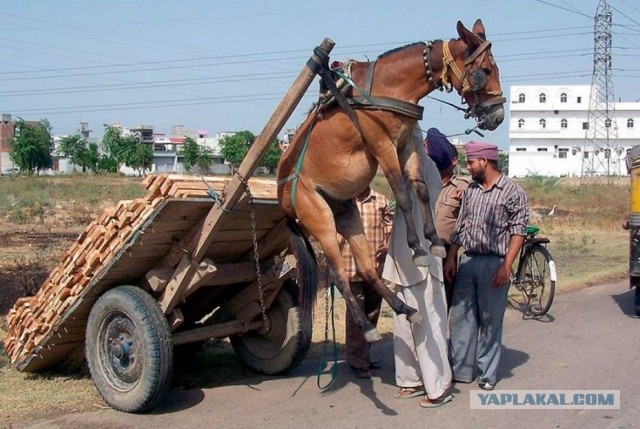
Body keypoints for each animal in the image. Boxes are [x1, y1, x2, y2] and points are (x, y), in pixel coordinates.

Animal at [276, 19, 504, 342]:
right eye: (484, 70)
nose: (498, 115)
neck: (389, 87)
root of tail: (283, 197)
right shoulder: (382, 145)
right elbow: (403, 194)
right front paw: (418, 249)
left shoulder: (407, 143)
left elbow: (421, 189)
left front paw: (434, 241)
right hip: (319, 219)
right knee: (337, 273)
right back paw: (367, 326)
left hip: (346, 214)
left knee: (367, 268)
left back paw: (405, 309)